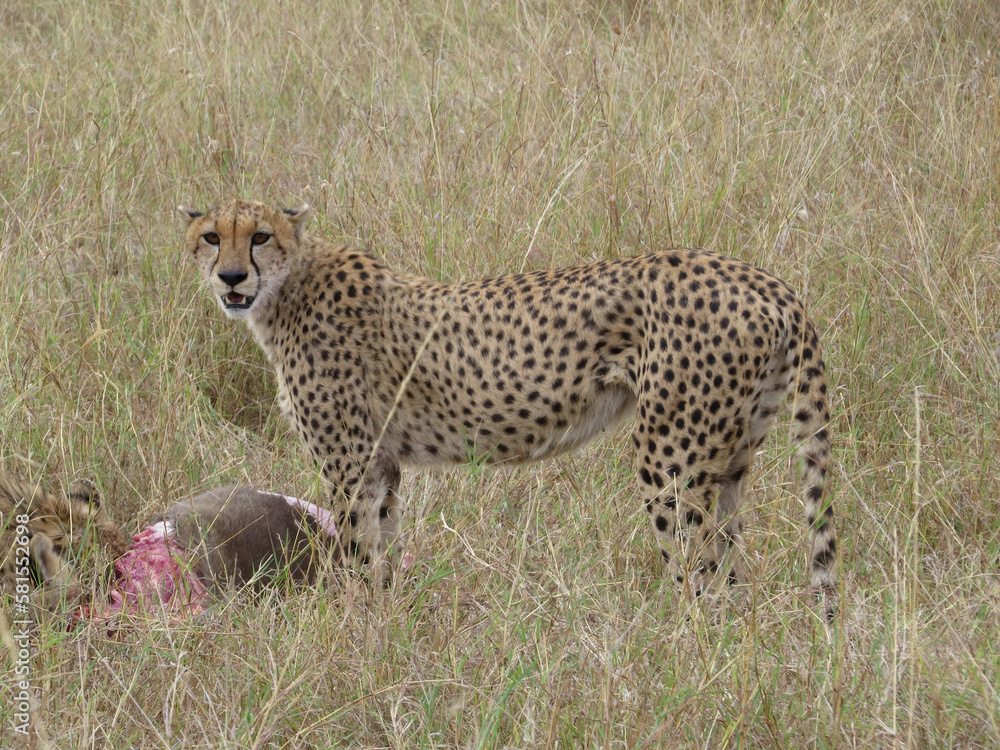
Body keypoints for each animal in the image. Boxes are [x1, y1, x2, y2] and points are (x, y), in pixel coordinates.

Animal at [178, 201, 836, 604]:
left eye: (260, 237)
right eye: (211, 237)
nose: (232, 277)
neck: (286, 289)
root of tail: (760, 277)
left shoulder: (351, 465)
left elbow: (359, 556)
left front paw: (355, 637)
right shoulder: (383, 464)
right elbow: (385, 550)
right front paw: (388, 626)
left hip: (672, 460)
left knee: (701, 580)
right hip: (730, 460)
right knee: (734, 576)